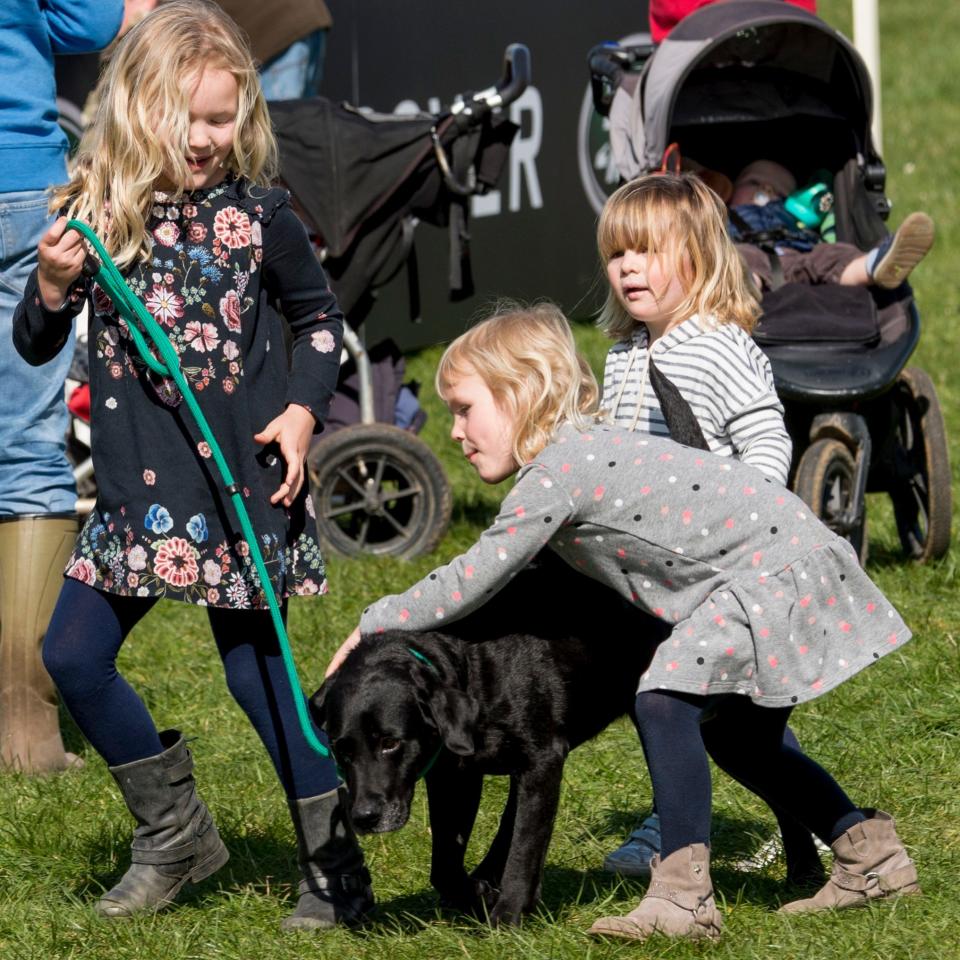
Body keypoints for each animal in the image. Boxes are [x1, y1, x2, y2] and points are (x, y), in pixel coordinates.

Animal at [310, 560, 668, 928]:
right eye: (340, 749)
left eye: (390, 742)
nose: (365, 817)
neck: (471, 670)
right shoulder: (454, 776)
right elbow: (445, 865)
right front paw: (476, 897)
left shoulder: (542, 761)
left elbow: (524, 847)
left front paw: (508, 914)